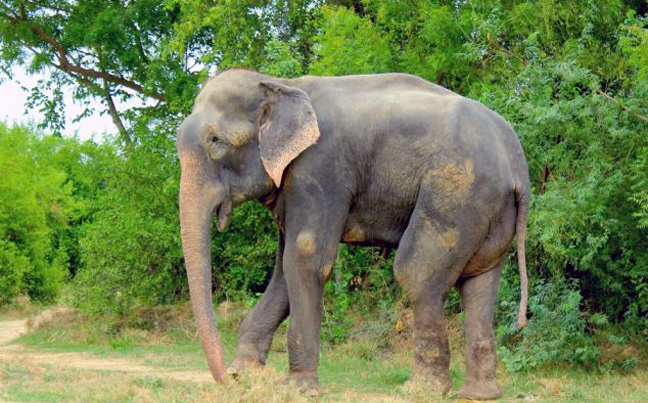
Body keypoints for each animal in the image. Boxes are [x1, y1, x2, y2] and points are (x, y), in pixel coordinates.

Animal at [176, 69, 528, 400]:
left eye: (216, 141)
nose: (225, 379)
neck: (282, 83)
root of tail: (517, 166)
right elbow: (284, 271)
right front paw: (244, 373)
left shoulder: (320, 168)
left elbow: (305, 257)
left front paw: (298, 389)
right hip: (489, 210)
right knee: (479, 283)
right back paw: (479, 394)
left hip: (457, 192)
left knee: (416, 272)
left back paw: (422, 389)